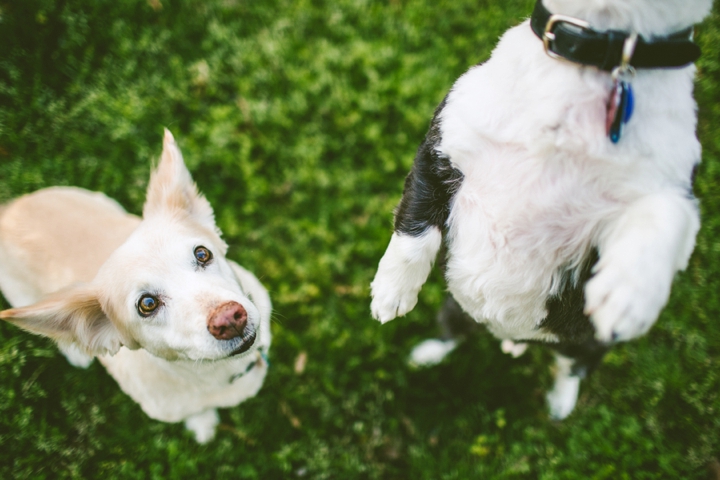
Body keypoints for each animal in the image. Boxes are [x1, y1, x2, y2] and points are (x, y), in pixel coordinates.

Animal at [0, 130, 272, 442]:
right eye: (147, 304)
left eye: (202, 254)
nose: (229, 319)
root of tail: (9, 211)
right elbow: (197, 414)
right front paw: (203, 426)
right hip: (22, 297)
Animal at [374, 0, 712, 418]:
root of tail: (510, 334)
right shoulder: (444, 146)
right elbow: (415, 227)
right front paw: (391, 291)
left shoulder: (670, 183)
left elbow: (661, 214)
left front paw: (630, 292)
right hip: (455, 308)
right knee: (453, 333)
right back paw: (428, 354)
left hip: (587, 344)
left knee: (572, 368)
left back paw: (560, 403)